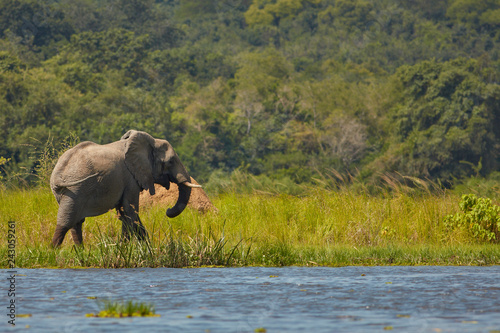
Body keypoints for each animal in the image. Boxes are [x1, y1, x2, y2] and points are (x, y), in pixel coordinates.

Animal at [49, 130, 199, 246]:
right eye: (170, 161)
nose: (167, 210)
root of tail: (58, 173)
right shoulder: (130, 178)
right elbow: (130, 211)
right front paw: (135, 249)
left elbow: (125, 213)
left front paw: (131, 248)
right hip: (75, 190)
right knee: (66, 222)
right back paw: (53, 251)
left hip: (66, 192)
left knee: (76, 222)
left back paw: (81, 251)